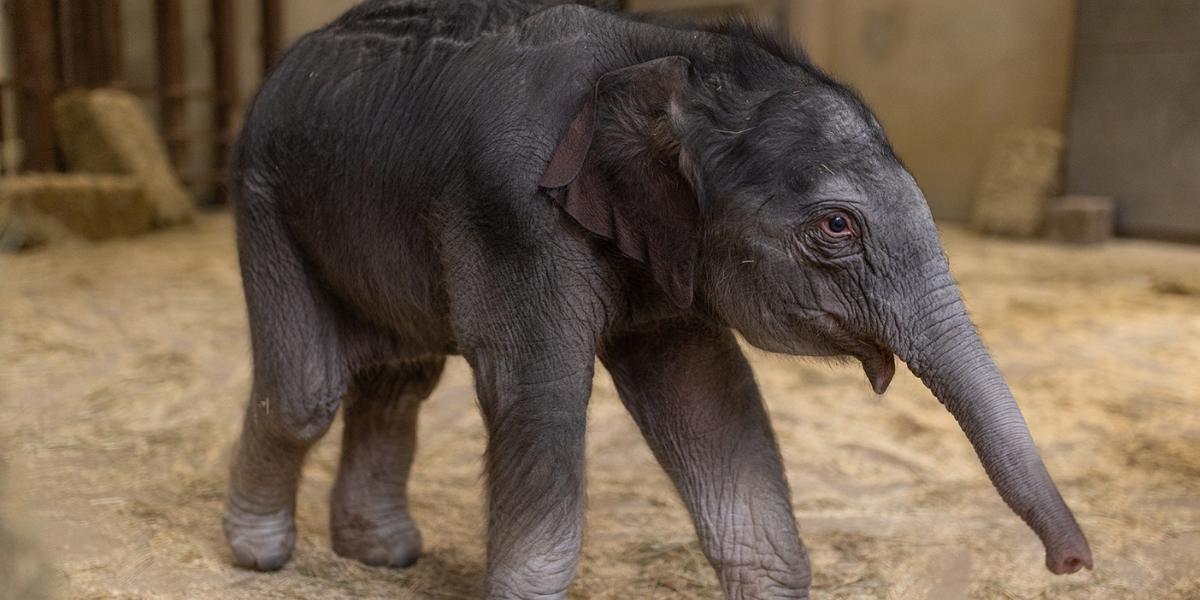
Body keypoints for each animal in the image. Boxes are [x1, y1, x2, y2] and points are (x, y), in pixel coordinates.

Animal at [222, 0, 1093, 597]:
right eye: (837, 225)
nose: (1073, 563)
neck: (671, 53)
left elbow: (712, 404)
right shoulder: (511, 217)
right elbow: (540, 401)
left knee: (399, 379)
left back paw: (381, 554)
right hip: (262, 197)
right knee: (305, 393)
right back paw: (259, 555)